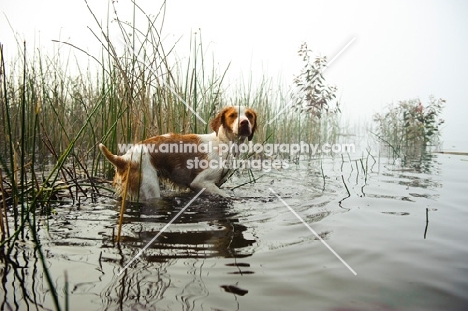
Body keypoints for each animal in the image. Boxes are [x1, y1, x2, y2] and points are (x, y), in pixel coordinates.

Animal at [100, 106, 258, 201]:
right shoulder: (200, 182)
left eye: (249, 115)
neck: (224, 143)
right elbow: (225, 195)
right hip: (149, 189)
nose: (244, 123)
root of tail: (125, 158)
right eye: (233, 115)